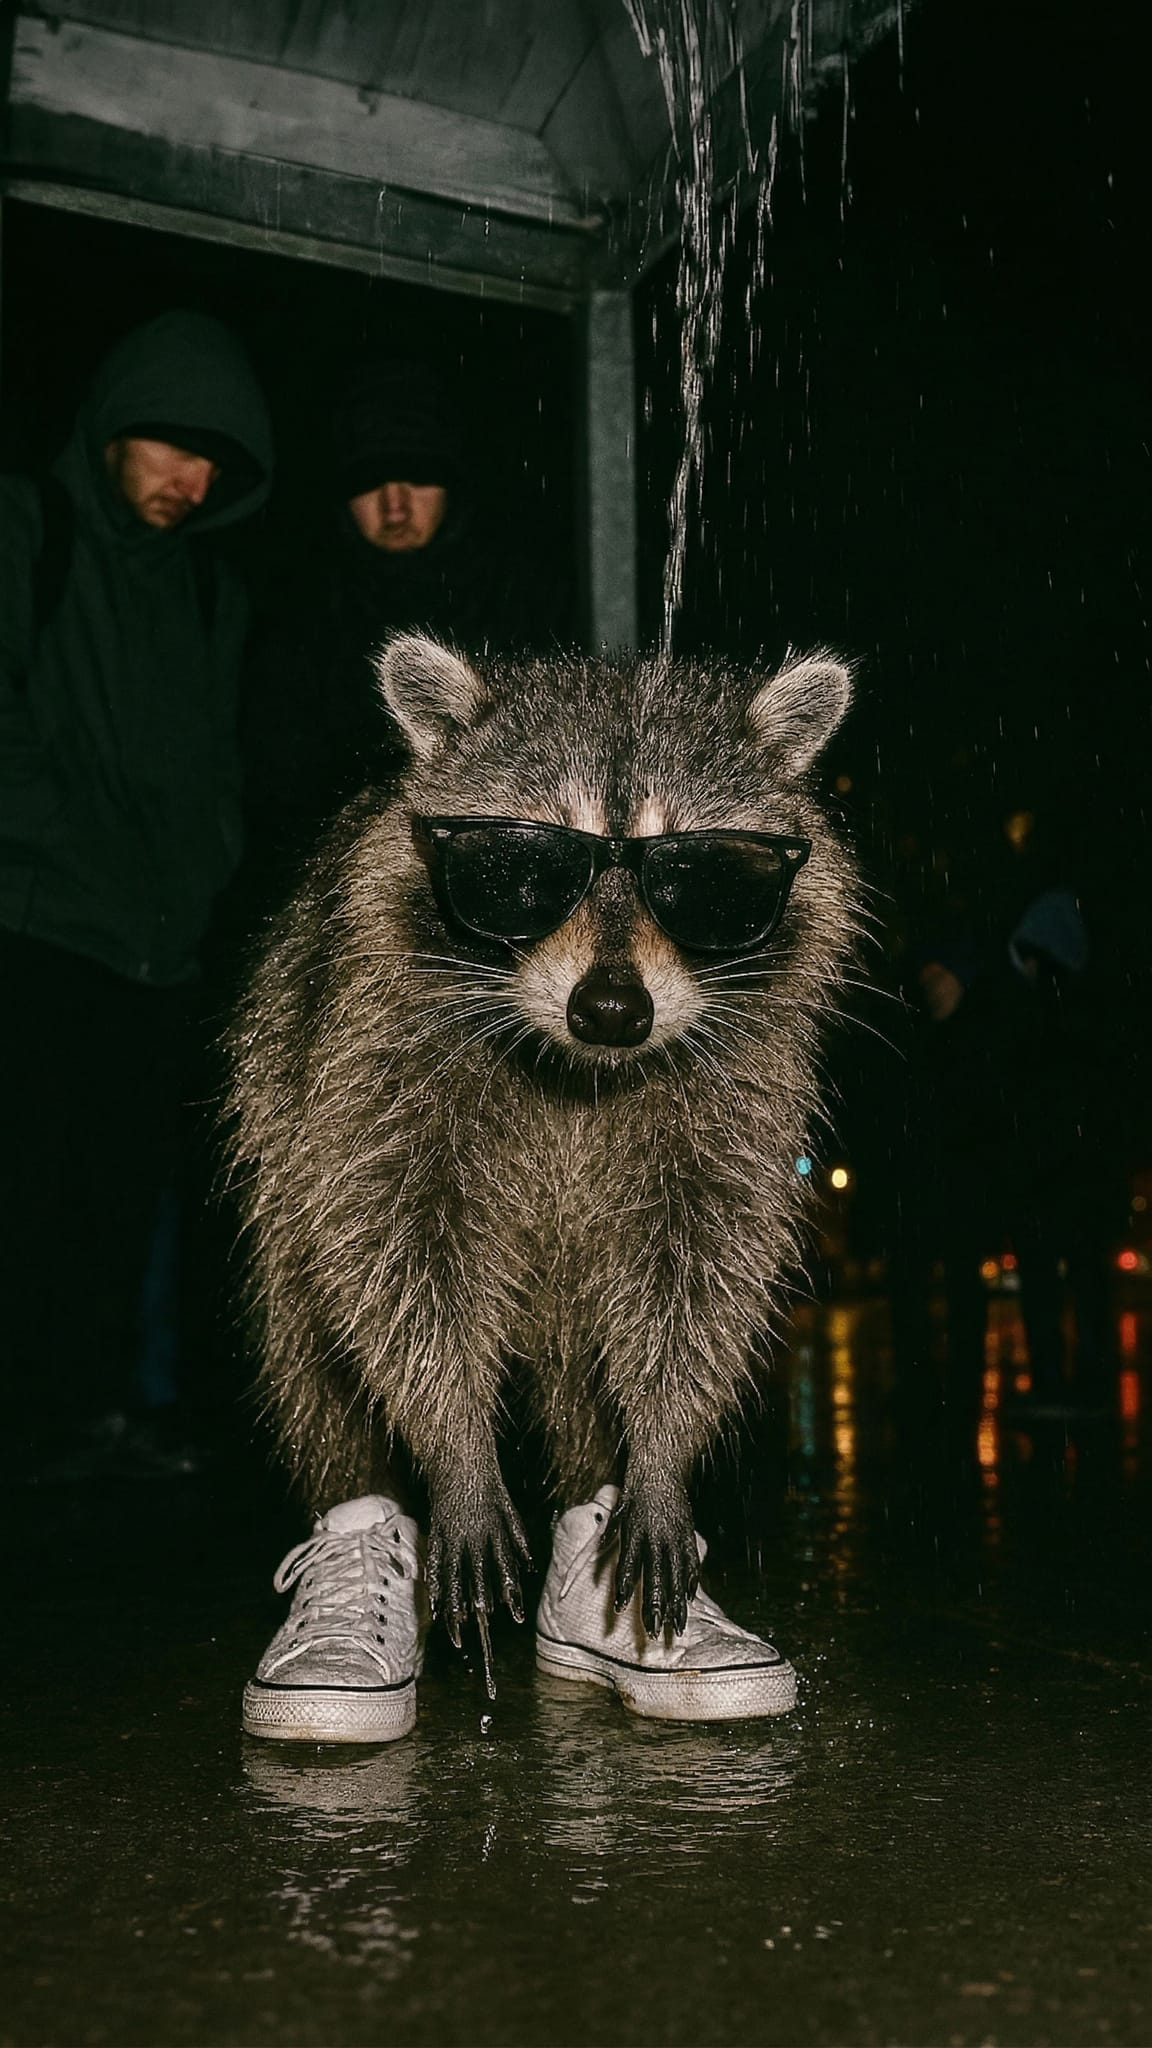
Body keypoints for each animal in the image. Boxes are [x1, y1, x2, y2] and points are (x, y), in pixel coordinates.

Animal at [228, 635, 857, 1641]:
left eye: (706, 876)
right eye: (523, 869)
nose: (612, 1010)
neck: (578, 1068)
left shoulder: (736, 1095)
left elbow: (700, 1267)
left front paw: (663, 1452)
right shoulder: (371, 1061)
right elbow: (394, 1252)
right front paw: (455, 1446)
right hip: (279, 1111)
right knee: (312, 1346)